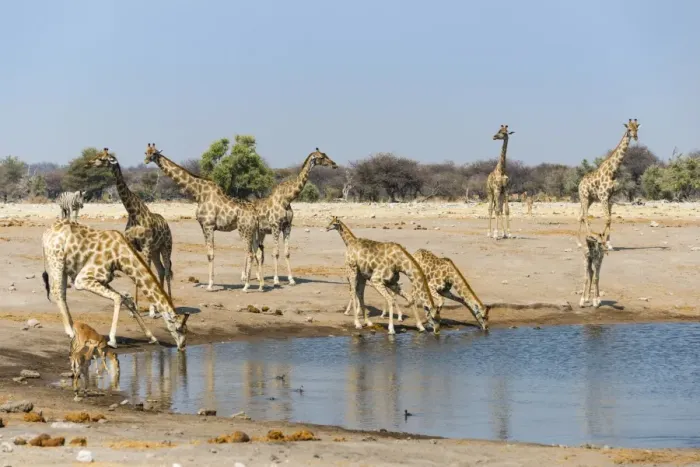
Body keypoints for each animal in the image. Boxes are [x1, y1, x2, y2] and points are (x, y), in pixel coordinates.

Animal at [41, 219, 190, 350]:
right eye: (179, 329)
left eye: (186, 330)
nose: (182, 347)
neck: (120, 257)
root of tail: (46, 233)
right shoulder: (83, 279)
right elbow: (118, 298)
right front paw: (112, 341)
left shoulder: (103, 279)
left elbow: (126, 299)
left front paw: (152, 337)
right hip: (57, 261)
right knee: (57, 291)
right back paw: (71, 332)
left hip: (64, 267)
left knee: (62, 293)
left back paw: (73, 329)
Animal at [86, 148, 173, 313]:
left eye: (102, 159)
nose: (87, 163)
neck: (133, 213)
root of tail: (166, 224)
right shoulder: (133, 245)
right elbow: (137, 274)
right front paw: (139, 306)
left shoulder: (146, 245)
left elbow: (147, 272)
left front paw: (151, 310)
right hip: (155, 250)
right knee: (161, 270)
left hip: (165, 247)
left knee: (166, 271)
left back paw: (169, 302)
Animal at [143, 143, 262, 291]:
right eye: (146, 152)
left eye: (154, 153)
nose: (146, 160)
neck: (198, 194)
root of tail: (255, 214)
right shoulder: (203, 226)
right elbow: (208, 253)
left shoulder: (208, 225)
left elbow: (210, 254)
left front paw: (210, 285)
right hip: (253, 231)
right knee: (257, 252)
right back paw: (260, 285)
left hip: (244, 231)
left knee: (250, 253)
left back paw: (246, 285)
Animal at [243, 148, 337, 287]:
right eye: (321, 157)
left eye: (326, 155)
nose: (334, 164)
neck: (287, 199)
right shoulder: (276, 226)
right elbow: (275, 253)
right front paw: (276, 280)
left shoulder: (287, 226)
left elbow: (287, 253)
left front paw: (291, 279)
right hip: (249, 230)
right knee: (247, 249)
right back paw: (244, 276)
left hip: (260, 232)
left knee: (256, 250)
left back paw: (259, 276)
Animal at [577, 119, 640, 250]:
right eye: (629, 129)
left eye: (637, 128)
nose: (635, 136)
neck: (612, 172)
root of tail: (579, 184)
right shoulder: (603, 197)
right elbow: (607, 219)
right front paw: (602, 238)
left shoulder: (610, 199)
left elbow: (610, 219)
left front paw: (609, 244)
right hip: (584, 197)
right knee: (585, 216)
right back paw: (590, 238)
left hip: (589, 199)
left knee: (581, 215)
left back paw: (579, 242)